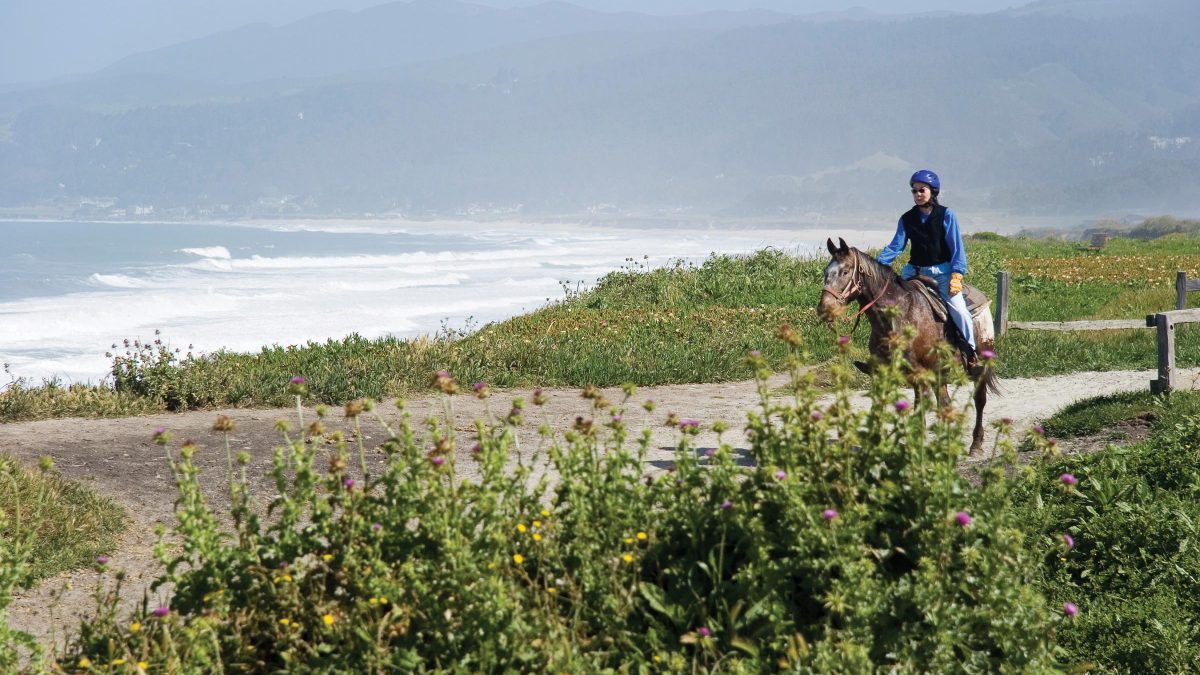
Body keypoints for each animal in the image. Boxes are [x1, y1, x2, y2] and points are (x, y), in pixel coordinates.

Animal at [816, 234, 1003, 454]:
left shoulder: (918, 373)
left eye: (845, 271)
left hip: (980, 362)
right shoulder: (884, 373)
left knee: (979, 399)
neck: (898, 315)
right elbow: (880, 406)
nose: (824, 308)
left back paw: (976, 444)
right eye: (826, 272)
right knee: (944, 403)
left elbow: (919, 410)